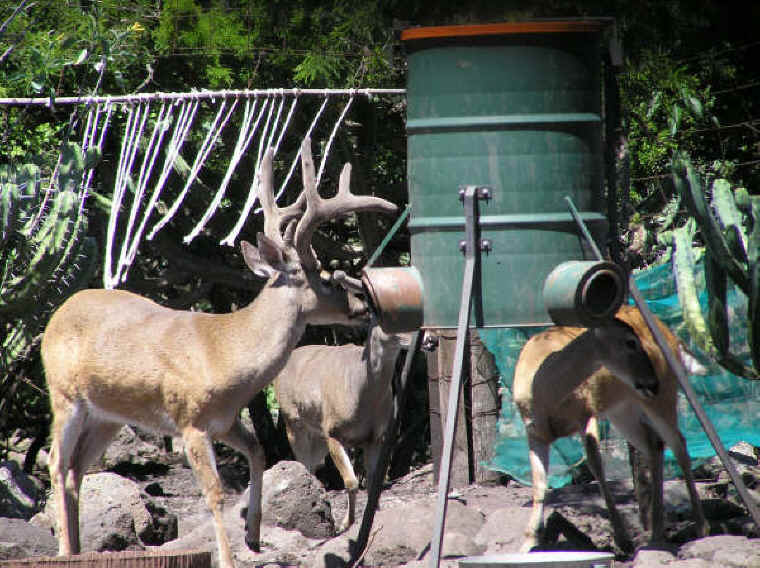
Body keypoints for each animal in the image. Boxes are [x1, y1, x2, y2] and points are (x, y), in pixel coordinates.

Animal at [40, 138, 397, 568]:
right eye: (326, 279)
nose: (361, 305)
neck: (225, 354)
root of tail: (57, 314)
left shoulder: (225, 420)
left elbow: (259, 452)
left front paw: (255, 534)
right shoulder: (189, 420)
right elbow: (214, 493)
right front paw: (228, 556)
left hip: (108, 415)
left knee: (77, 469)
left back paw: (78, 548)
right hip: (64, 396)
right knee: (57, 462)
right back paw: (63, 549)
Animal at [273, 311, 412, 533]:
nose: (431, 339)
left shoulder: (376, 436)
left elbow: (372, 482)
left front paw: (374, 514)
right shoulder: (332, 431)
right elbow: (351, 481)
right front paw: (346, 523)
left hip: (317, 437)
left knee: (313, 465)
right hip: (292, 422)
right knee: (304, 465)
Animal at [513, 304, 709, 554]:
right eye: (630, 342)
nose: (652, 381)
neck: (545, 394)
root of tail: (672, 336)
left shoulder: (587, 413)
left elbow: (596, 465)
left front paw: (623, 540)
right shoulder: (534, 430)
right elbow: (539, 482)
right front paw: (528, 542)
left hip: (664, 393)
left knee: (679, 443)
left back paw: (701, 527)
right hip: (623, 409)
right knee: (654, 445)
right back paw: (656, 534)